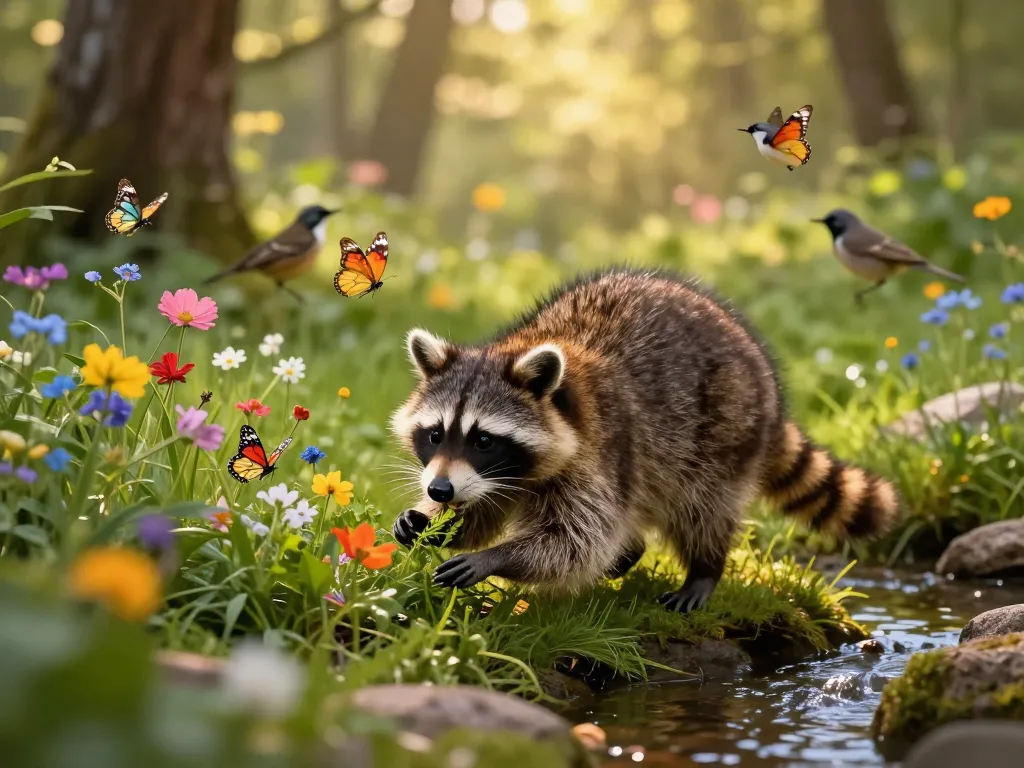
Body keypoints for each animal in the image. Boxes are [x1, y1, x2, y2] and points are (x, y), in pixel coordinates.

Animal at [390, 269, 898, 611]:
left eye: (483, 440)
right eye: (435, 434)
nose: (439, 490)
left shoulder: (599, 454)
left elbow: (576, 543)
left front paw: (493, 558)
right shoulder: (495, 480)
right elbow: (483, 512)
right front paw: (431, 522)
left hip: (726, 428)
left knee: (704, 507)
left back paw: (704, 568)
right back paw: (631, 551)